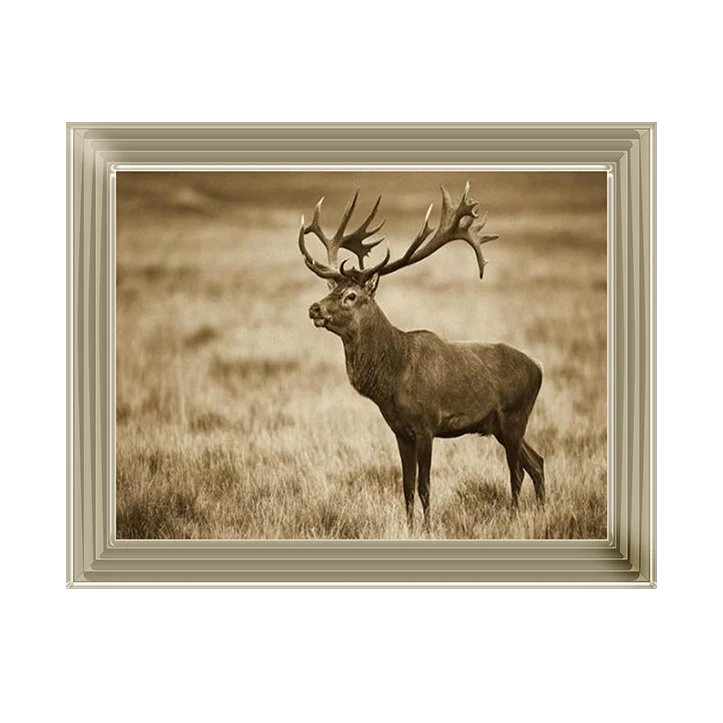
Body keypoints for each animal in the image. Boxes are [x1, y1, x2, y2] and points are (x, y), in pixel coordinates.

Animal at [298, 182, 545, 532]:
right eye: (330, 288)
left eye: (351, 296)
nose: (314, 308)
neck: (393, 377)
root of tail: (539, 369)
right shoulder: (400, 431)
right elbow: (406, 486)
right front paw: (409, 526)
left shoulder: (427, 424)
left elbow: (425, 486)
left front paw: (427, 528)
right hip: (501, 425)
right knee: (537, 462)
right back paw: (542, 511)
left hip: (514, 417)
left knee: (517, 472)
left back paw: (514, 518)